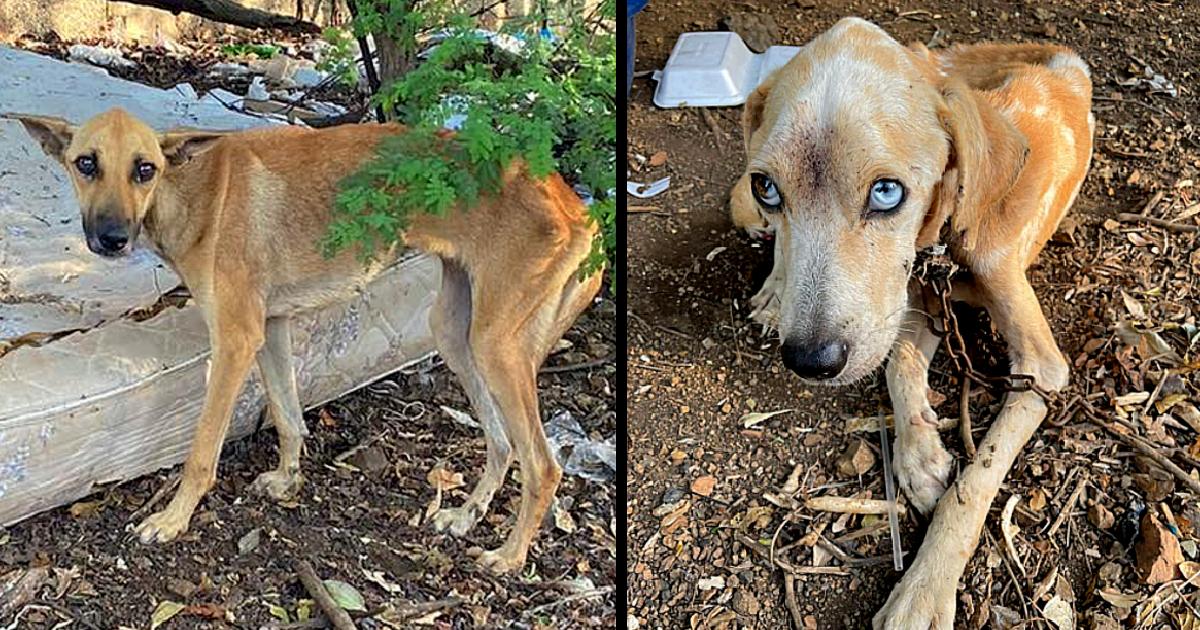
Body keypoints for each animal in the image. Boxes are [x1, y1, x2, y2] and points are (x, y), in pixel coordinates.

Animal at [11, 109, 600, 573]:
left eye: (144, 168)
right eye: (86, 163)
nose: (110, 239)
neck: (192, 191)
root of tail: (578, 207)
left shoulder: (234, 341)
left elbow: (202, 452)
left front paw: (172, 521)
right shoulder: (270, 329)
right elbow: (287, 416)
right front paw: (286, 479)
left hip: (497, 348)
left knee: (544, 464)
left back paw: (509, 556)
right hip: (457, 336)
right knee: (503, 442)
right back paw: (465, 515)